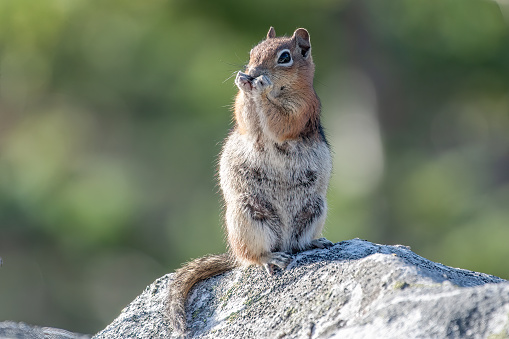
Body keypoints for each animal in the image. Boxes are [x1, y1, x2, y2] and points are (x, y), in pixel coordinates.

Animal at [167, 27, 334, 334]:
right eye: (251, 52)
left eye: (284, 57)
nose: (251, 72)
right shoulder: (246, 119)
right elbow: (243, 115)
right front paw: (243, 84)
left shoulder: (303, 107)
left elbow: (281, 121)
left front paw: (260, 86)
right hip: (248, 216)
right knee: (253, 257)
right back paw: (270, 258)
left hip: (314, 210)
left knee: (297, 245)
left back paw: (312, 244)